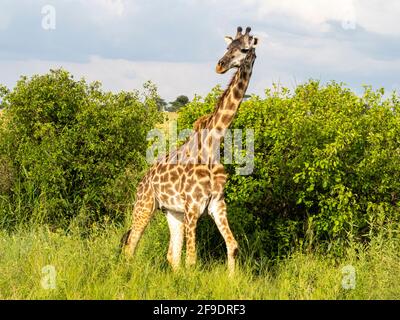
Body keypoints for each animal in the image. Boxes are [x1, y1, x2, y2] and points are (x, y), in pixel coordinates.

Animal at [122, 26, 260, 274]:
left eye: (244, 49)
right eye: (228, 47)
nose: (220, 65)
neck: (212, 145)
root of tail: (143, 179)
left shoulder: (216, 204)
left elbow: (232, 247)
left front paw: (232, 279)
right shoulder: (193, 206)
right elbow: (192, 260)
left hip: (172, 212)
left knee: (171, 255)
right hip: (145, 204)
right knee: (131, 245)